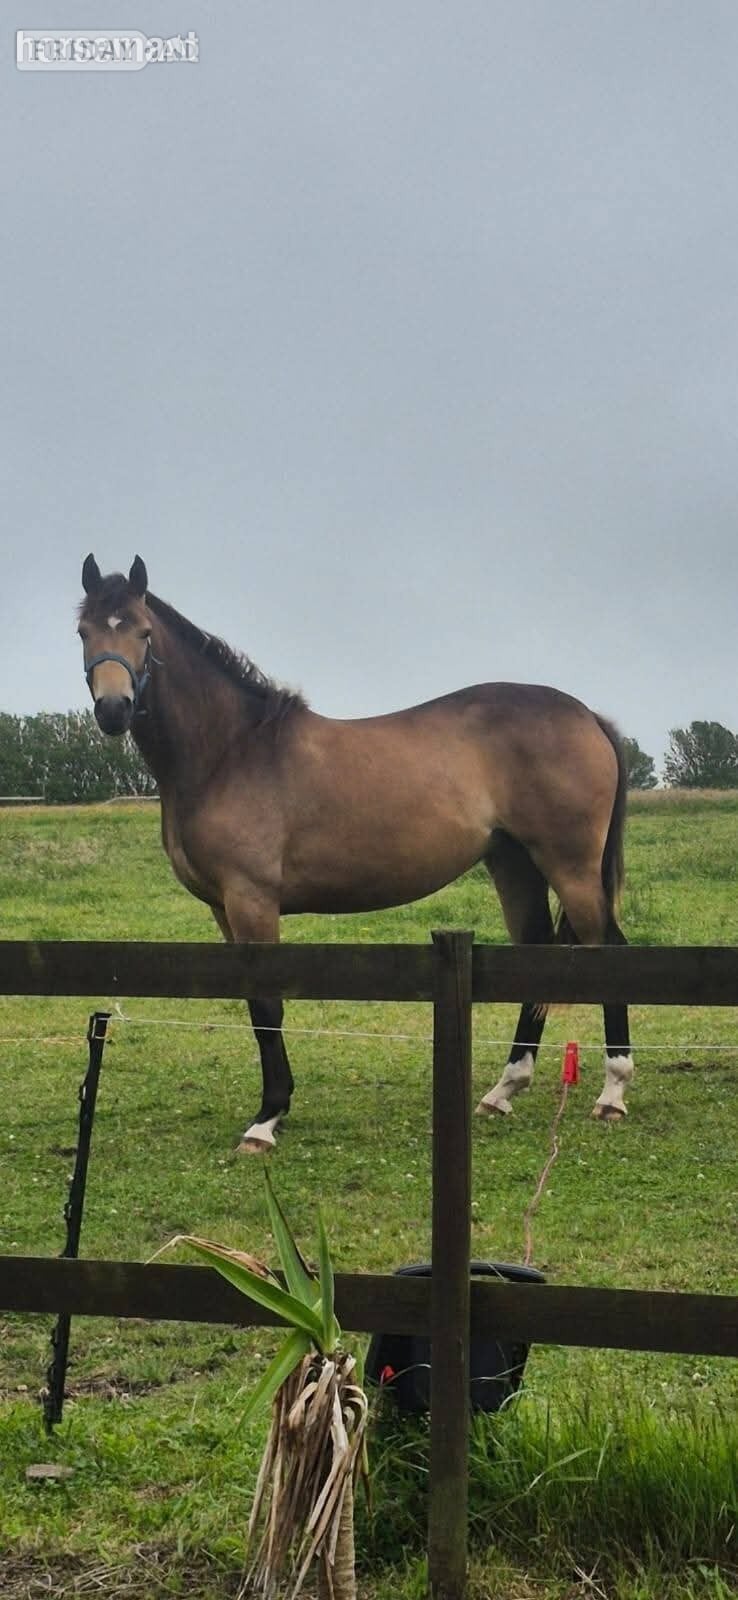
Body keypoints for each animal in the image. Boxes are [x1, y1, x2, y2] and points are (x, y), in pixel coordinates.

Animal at [78, 554, 633, 1152]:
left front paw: (267, 1118)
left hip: (570, 866)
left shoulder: (252, 901)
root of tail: (587, 716)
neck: (231, 750)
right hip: (514, 864)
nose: (114, 709)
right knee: (535, 960)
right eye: (84, 631)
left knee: (614, 952)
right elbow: (253, 1003)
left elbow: (267, 1004)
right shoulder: (223, 909)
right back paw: (503, 1090)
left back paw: (612, 1092)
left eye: (143, 631)